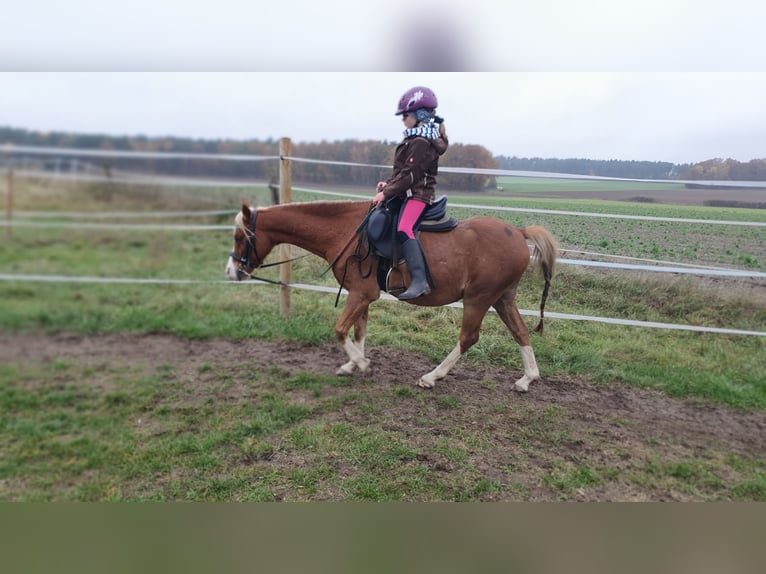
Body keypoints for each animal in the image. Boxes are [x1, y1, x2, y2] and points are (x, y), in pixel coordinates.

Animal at [225, 200, 558, 392]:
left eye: (240, 236)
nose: (231, 272)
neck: (346, 231)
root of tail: (518, 232)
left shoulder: (360, 294)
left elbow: (340, 330)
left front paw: (361, 364)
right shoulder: (361, 295)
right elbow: (359, 331)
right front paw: (353, 364)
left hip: (479, 298)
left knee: (468, 338)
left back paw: (432, 376)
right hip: (502, 298)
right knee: (520, 331)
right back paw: (527, 379)